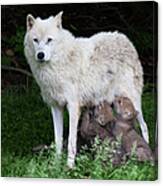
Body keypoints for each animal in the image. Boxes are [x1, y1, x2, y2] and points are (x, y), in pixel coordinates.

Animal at [23, 11, 149, 169]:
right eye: (36, 40)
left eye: (49, 40)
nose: (40, 55)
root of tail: (125, 39)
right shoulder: (56, 107)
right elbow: (58, 140)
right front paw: (56, 165)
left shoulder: (73, 107)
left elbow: (71, 142)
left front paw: (69, 167)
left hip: (133, 101)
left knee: (144, 126)